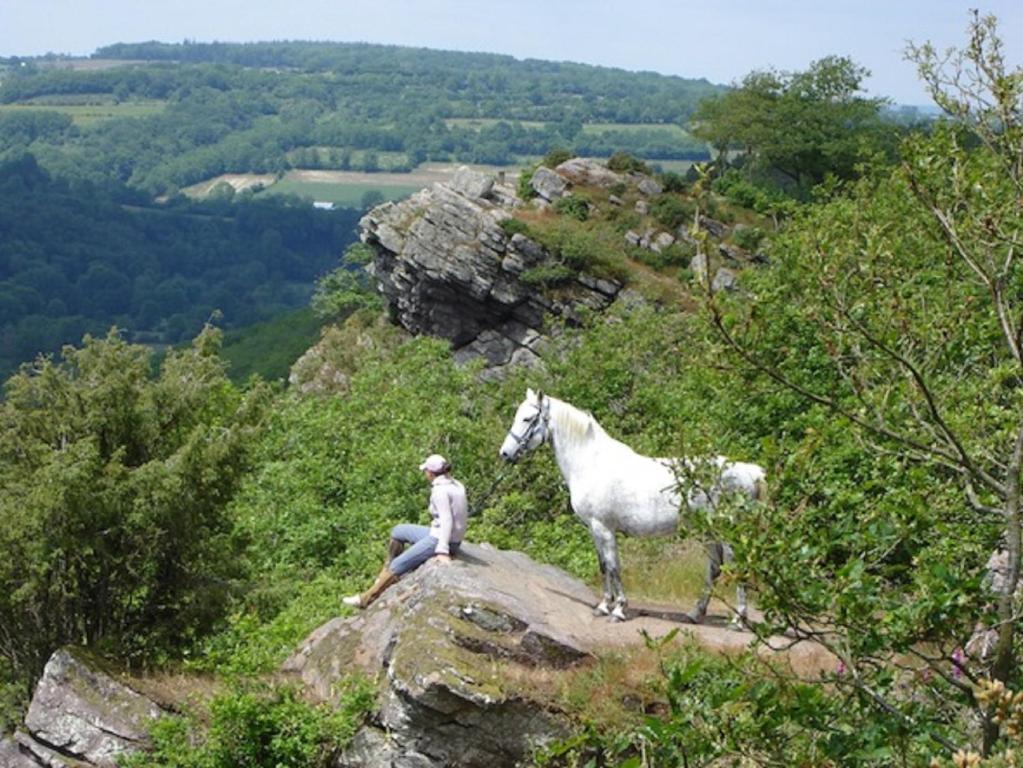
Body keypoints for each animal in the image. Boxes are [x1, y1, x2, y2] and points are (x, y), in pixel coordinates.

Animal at [499, 390, 765, 625]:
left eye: (527, 418)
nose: (505, 454)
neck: (590, 463)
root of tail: (749, 472)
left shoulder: (604, 528)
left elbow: (614, 567)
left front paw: (618, 610)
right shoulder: (595, 529)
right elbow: (603, 566)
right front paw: (603, 606)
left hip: (727, 532)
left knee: (734, 566)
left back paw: (738, 620)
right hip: (709, 533)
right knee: (714, 569)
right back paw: (695, 613)